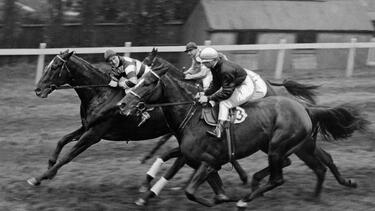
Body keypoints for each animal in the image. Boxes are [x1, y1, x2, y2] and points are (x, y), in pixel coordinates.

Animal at [121, 55, 370, 209]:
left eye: (148, 82)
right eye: (139, 79)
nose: (123, 104)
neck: (190, 117)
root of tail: (303, 107)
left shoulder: (208, 161)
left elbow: (191, 190)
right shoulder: (199, 160)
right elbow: (197, 181)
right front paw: (145, 195)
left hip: (280, 145)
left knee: (282, 176)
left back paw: (246, 198)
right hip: (283, 145)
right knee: (316, 162)